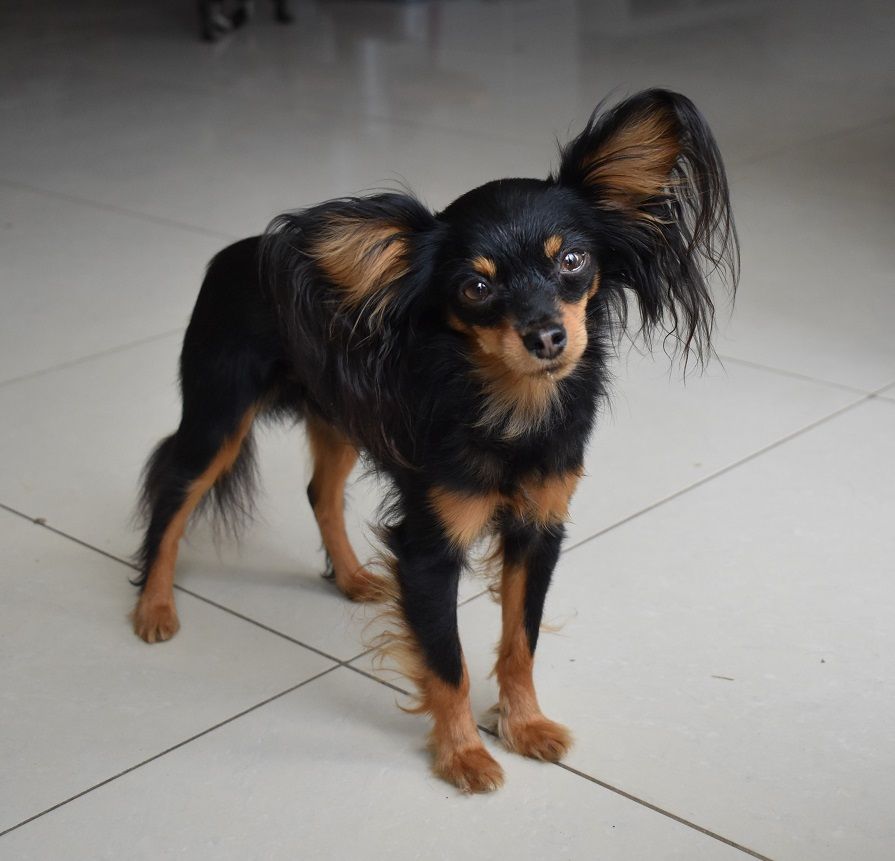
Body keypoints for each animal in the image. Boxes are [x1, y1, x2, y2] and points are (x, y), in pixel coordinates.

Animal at [133, 89, 738, 792]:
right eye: (476, 288)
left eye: (572, 261)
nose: (546, 336)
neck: (510, 406)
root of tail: (237, 253)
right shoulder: (429, 549)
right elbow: (448, 664)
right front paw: (464, 755)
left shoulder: (539, 529)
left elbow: (521, 640)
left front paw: (524, 725)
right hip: (219, 417)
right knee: (173, 492)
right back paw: (153, 606)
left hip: (338, 417)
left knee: (319, 491)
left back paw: (349, 578)